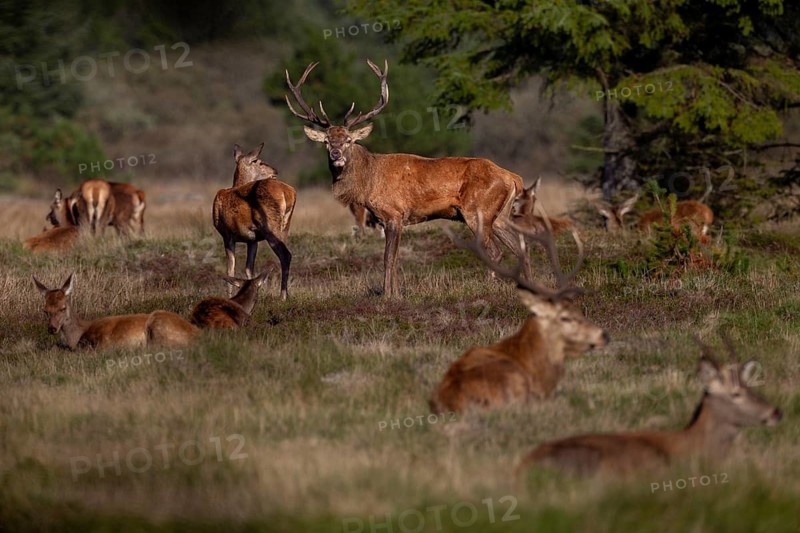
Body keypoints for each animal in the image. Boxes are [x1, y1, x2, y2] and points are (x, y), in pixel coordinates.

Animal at [212, 143, 296, 300]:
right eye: (259, 161)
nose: (275, 170)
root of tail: (288, 193)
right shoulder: (252, 240)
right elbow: (248, 268)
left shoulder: (227, 234)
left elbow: (230, 268)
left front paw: (229, 297)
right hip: (285, 226)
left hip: (270, 226)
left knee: (286, 255)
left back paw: (282, 296)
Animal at [285, 59, 529, 297]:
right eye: (326, 141)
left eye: (348, 140)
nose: (336, 155)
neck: (368, 182)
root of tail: (513, 177)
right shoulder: (393, 219)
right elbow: (395, 258)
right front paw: (396, 294)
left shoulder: (393, 213)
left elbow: (387, 258)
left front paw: (387, 296)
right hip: (499, 216)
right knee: (520, 247)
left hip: (477, 211)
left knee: (495, 251)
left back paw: (492, 285)